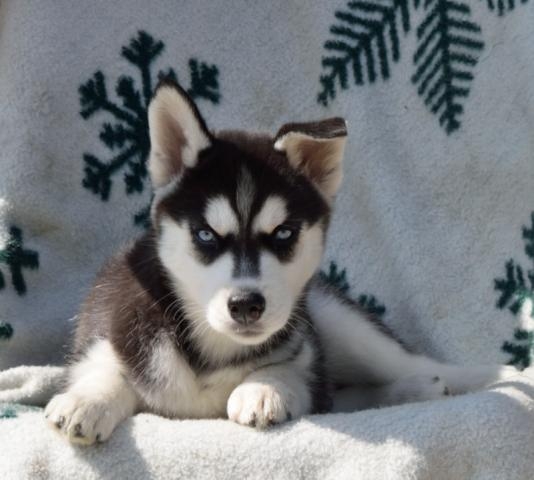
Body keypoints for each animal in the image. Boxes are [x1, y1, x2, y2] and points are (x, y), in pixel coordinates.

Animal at [45, 80, 520, 444]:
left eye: (284, 234)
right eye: (205, 235)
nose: (246, 305)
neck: (214, 351)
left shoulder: (306, 352)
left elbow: (295, 370)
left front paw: (262, 386)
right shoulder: (110, 323)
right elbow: (106, 367)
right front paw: (88, 399)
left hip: (343, 325)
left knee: (418, 366)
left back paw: (488, 378)